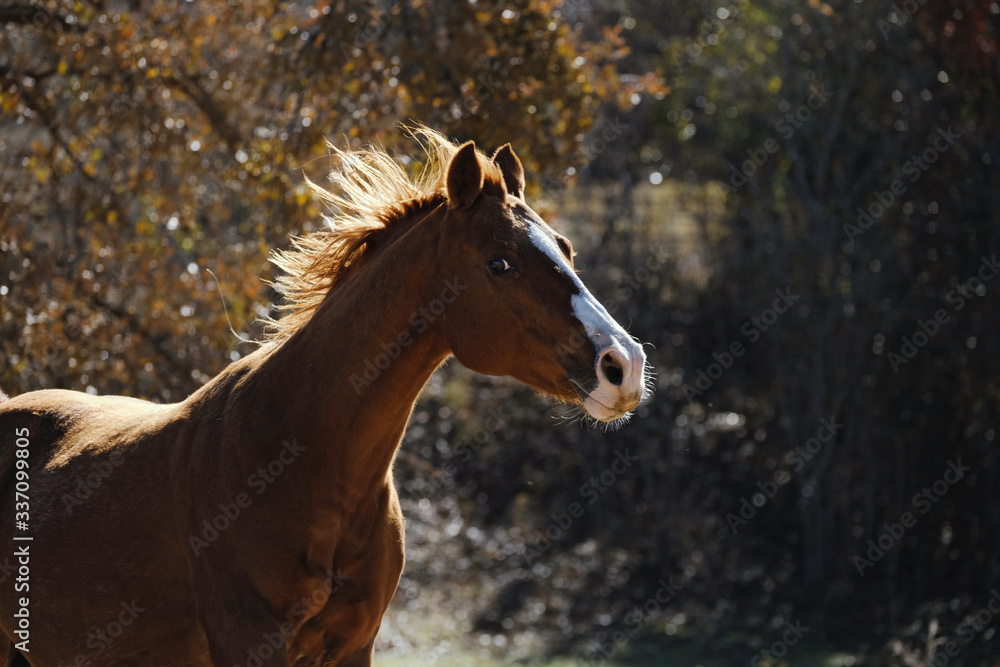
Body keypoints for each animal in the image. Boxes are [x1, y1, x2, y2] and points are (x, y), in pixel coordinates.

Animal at [0, 128, 649, 666]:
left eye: (565, 247)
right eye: (500, 263)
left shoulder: (354, 646)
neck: (304, 464)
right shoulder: (249, 646)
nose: (623, 367)